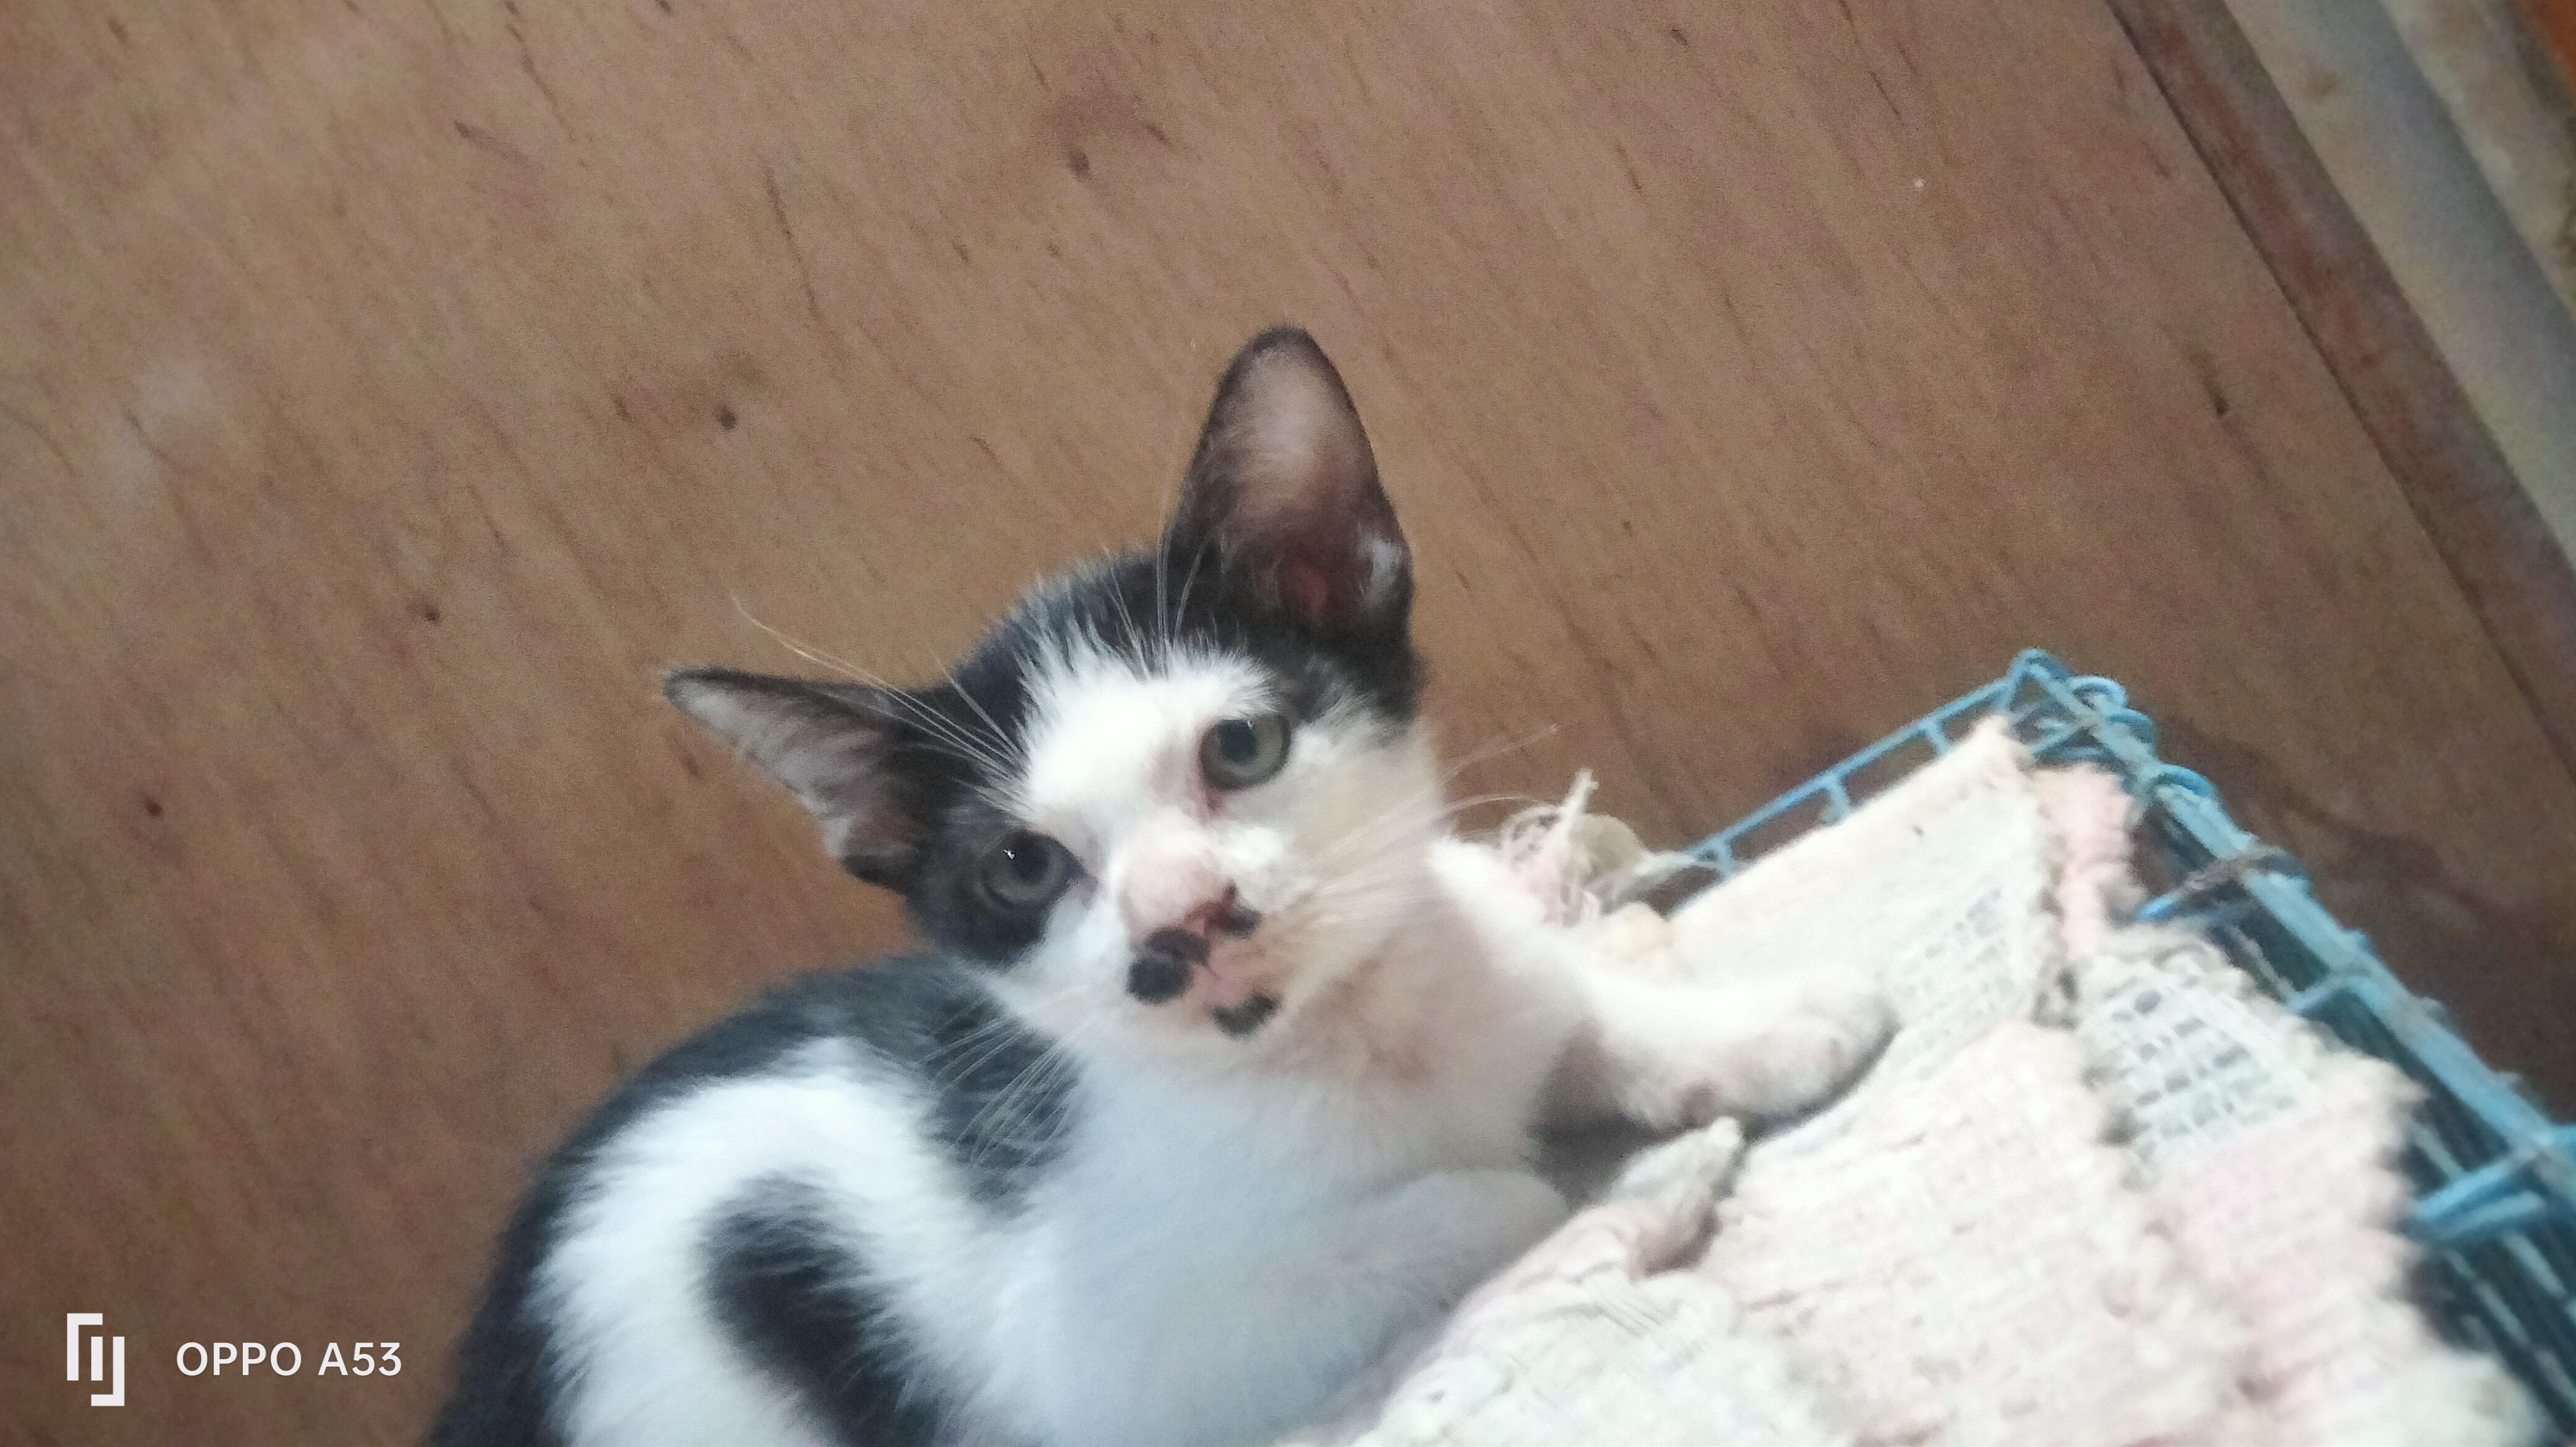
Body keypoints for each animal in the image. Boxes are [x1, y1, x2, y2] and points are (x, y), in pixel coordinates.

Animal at [428, 327, 1892, 1447]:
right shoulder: (1105, 1366)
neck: (1357, 1039)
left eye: (1241, 748)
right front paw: (1555, 1195)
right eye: (1022, 868)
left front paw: (1768, 1023)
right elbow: (1482, 1199)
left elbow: (1576, 1004)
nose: (1182, 916)